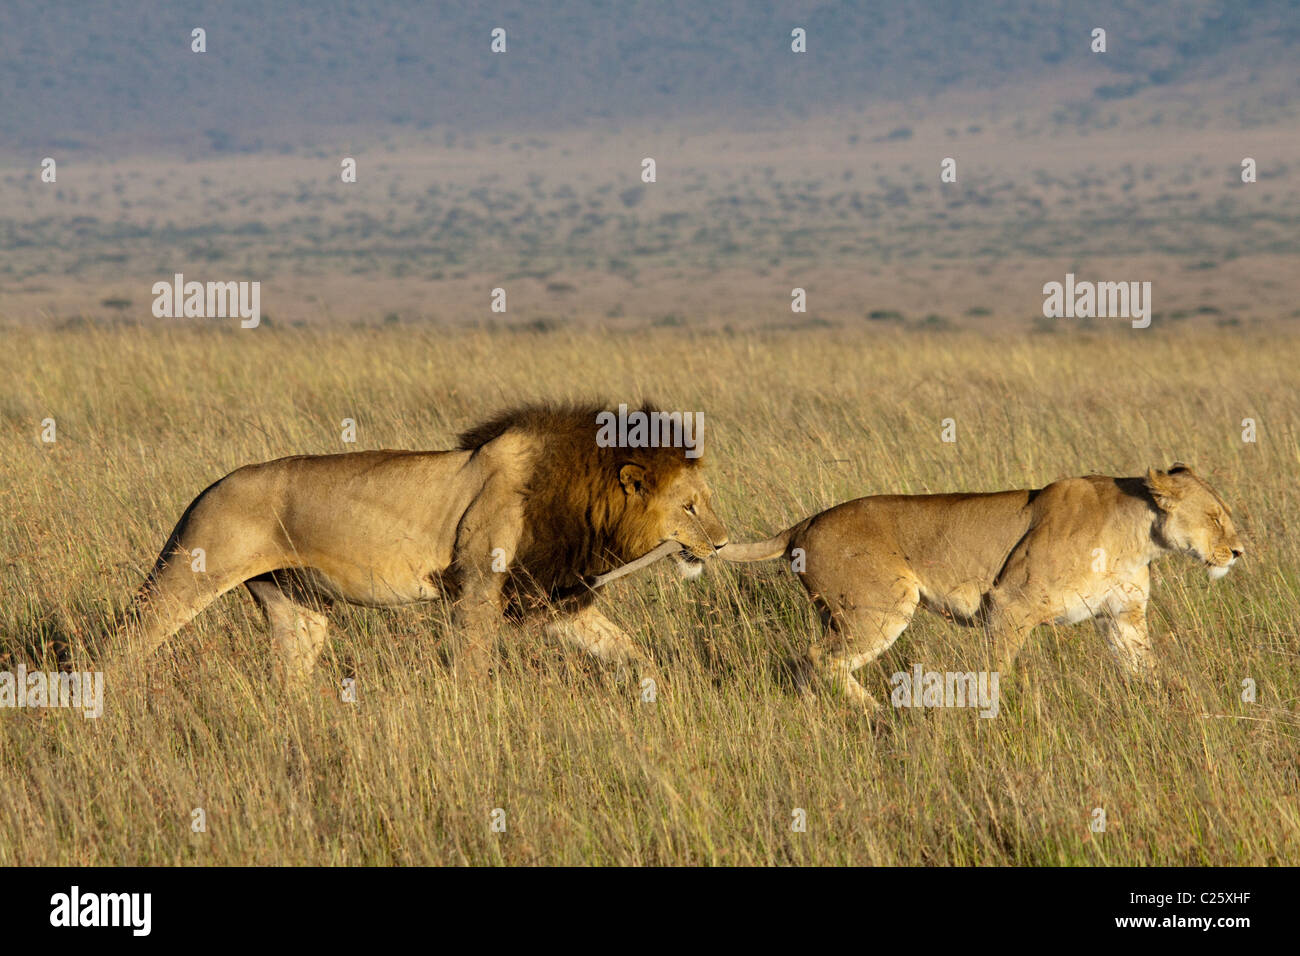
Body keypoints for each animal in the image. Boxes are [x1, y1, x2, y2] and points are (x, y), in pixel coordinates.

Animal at [109, 402, 729, 685]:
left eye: (706, 500)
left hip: (295, 603)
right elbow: (473, 665)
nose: (723, 544)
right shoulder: (478, 587)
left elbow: (626, 648)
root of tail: (208, 488)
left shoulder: (551, 597)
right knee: (125, 643)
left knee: (291, 670)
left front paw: (662, 689)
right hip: (188, 573)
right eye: (690, 507)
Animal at [720, 465, 1243, 708]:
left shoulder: (1122, 616)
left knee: (810, 662)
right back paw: (873, 712)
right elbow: (996, 673)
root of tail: (804, 523)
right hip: (881, 609)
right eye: (1216, 517)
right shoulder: (1010, 604)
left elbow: (1147, 668)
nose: (1238, 552)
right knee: (816, 658)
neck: (1138, 537)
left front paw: (1181, 706)